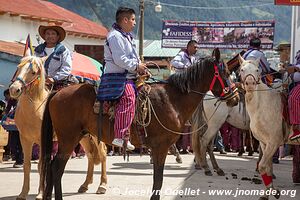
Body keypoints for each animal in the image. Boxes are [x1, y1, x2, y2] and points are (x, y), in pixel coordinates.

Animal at [8, 52, 107, 200]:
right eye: (18, 67)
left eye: (33, 72)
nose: (14, 89)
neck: (34, 107)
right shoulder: (24, 139)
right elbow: (27, 165)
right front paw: (23, 193)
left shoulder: (42, 140)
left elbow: (41, 164)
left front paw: (40, 193)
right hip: (80, 136)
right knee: (90, 154)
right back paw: (85, 184)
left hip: (95, 135)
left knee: (103, 153)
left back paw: (102, 185)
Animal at [40, 55, 239, 200]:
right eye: (225, 74)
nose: (236, 98)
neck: (173, 100)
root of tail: (58, 92)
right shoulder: (160, 147)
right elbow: (158, 180)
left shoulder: (161, 148)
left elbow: (158, 179)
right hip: (68, 139)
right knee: (56, 168)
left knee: (53, 167)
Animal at [238, 55, 298, 200]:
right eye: (242, 70)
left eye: (257, 70)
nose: (250, 84)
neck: (262, 106)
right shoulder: (264, 143)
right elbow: (268, 168)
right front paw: (269, 192)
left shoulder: (273, 142)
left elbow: (262, 166)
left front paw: (272, 191)